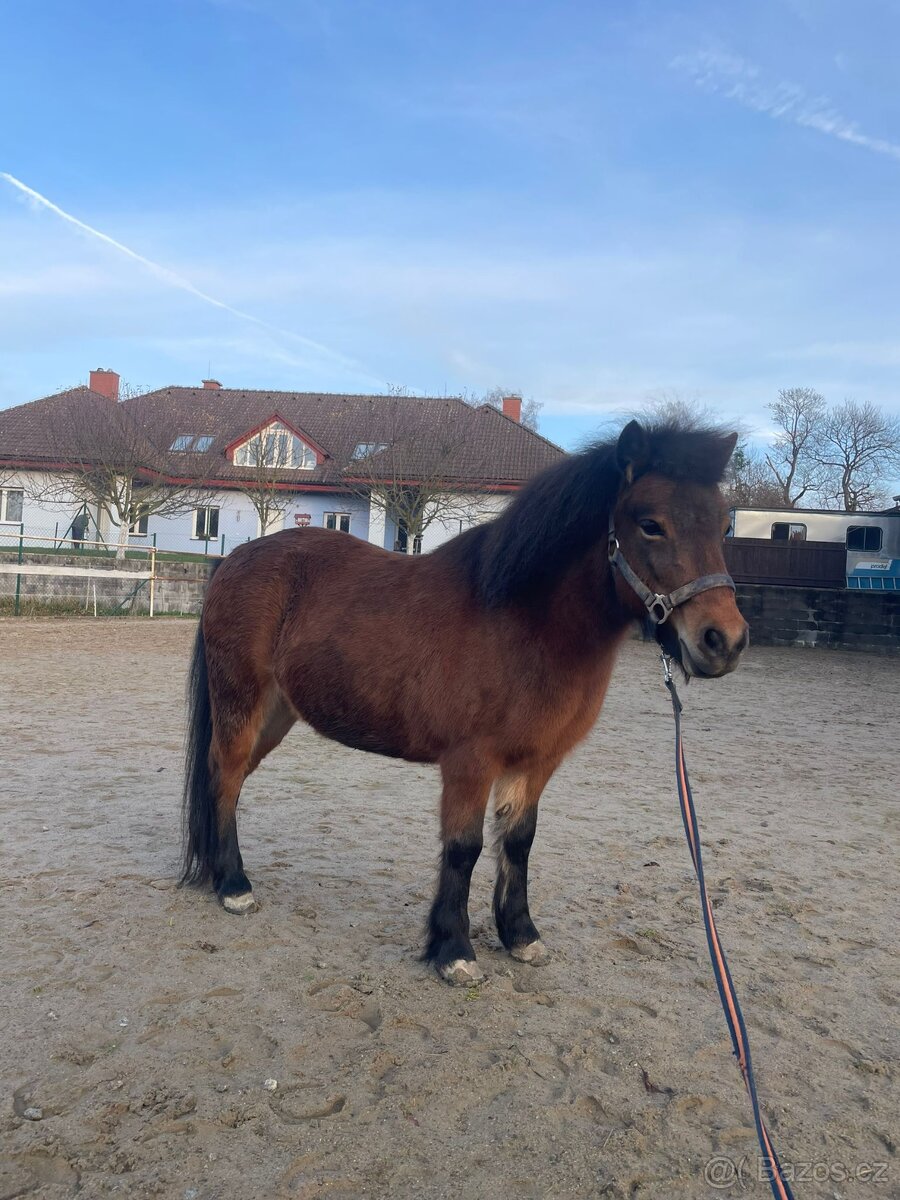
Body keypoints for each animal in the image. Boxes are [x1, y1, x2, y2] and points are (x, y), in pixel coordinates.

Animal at [181, 419, 748, 984]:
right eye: (650, 524)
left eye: (724, 526)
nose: (724, 640)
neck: (525, 624)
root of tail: (232, 560)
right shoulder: (470, 762)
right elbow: (463, 848)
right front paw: (453, 949)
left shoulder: (536, 762)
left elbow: (519, 841)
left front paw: (520, 935)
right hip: (242, 704)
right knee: (225, 776)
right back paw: (234, 886)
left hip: (277, 714)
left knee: (228, 779)